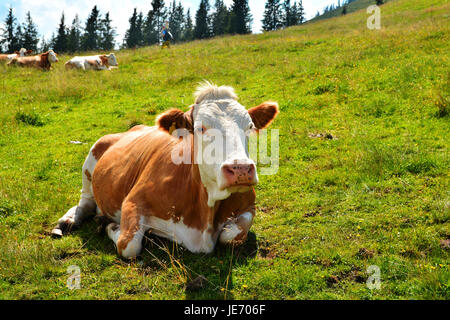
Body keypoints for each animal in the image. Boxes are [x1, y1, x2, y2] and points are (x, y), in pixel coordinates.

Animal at [51, 82, 278, 260]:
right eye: (200, 128)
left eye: (249, 126)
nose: (240, 169)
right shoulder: (133, 202)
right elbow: (128, 245)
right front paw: (110, 225)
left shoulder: (249, 206)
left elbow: (231, 235)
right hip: (92, 157)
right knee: (86, 201)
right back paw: (68, 221)